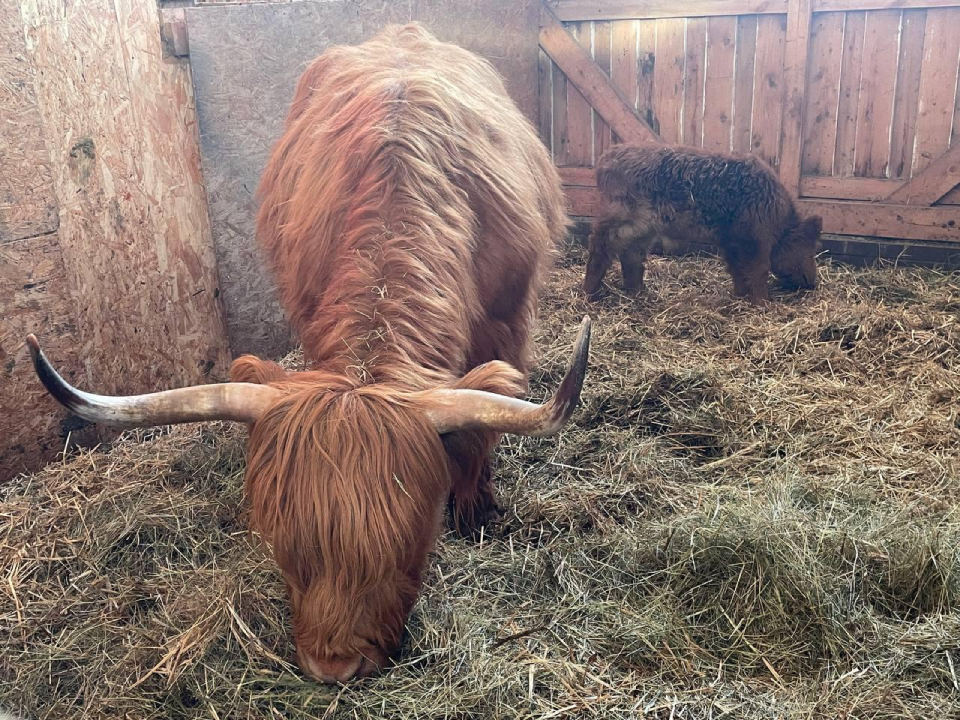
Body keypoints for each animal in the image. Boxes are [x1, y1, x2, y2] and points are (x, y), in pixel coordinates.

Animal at [580, 145, 820, 302]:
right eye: (809, 251)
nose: (813, 283)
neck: (778, 220)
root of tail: (604, 160)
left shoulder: (731, 240)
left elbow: (737, 268)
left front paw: (741, 295)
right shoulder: (755, 238)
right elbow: (760, 268)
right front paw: (763, 304)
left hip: (644, 229)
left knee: (631, 254)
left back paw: (640, 293)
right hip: (623, 215)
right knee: (599, 242)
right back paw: (591, 293)